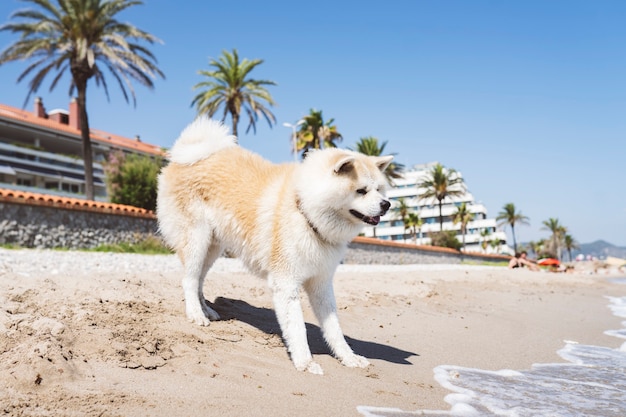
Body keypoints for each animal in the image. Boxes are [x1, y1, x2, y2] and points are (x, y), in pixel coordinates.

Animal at [156, 118, 390, 374]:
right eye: (361, 190)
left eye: (379, 189)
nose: (386, 204)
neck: (305, 211)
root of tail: (183, 156)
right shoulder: (285, 283)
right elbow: (297, 328)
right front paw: (305, 363)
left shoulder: (321, 283)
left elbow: (334, 329)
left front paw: (348, 357)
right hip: (197, 240)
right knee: (189, 280)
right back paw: (196, 315)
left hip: (213, 247)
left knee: (198, 279)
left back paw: (205, 310)